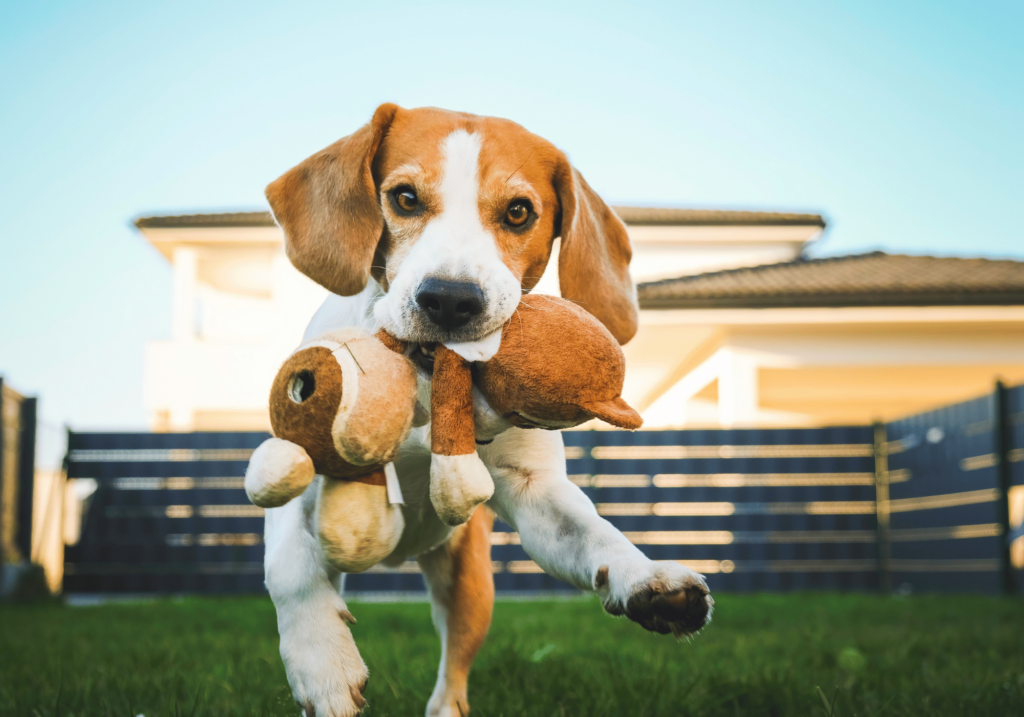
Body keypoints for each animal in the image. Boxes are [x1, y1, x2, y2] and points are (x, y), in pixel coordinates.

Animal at [262, 102, 712, 717]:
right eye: (404, 198)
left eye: (519, 212)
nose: (450, 298)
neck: (427, 387)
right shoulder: (298, 470)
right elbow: (289, 568)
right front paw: (321, 661)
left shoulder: (534, 492)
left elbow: (596, 533)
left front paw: (645, 579)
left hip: (469, 584)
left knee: (452, 673)